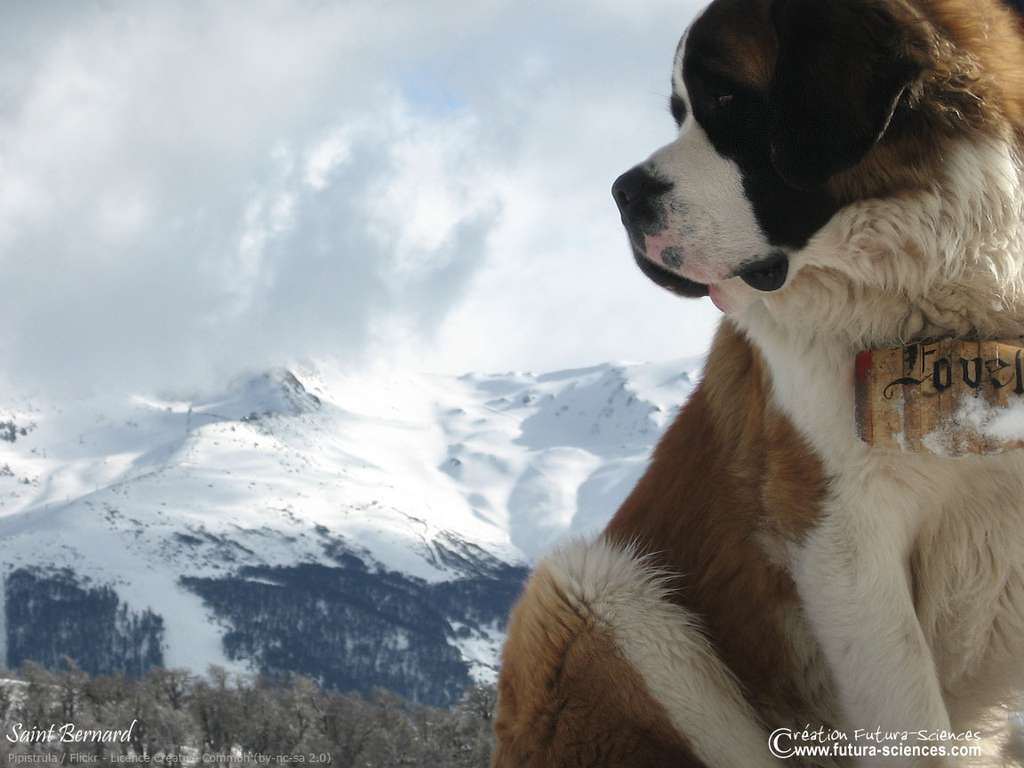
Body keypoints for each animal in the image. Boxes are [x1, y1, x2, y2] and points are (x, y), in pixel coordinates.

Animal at [491, 1, 1024, 768]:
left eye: (726, 99)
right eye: (681, 109)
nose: (623, 193)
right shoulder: (841, 535)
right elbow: (910, 717)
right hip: (595, 592)